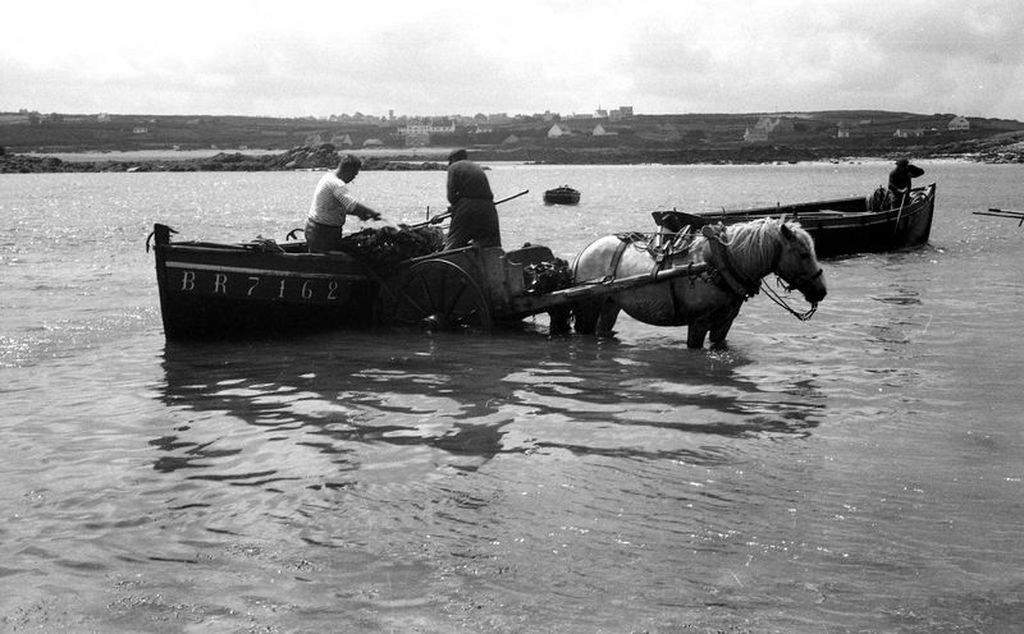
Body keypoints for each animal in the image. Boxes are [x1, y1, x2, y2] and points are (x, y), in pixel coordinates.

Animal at [569, 217, 823, 348]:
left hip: (610, 305)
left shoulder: (724, 324)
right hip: (589, 307)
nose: (821, 291)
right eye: (803, 254)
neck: (719, 262)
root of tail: (584, 253)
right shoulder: (699, 322)